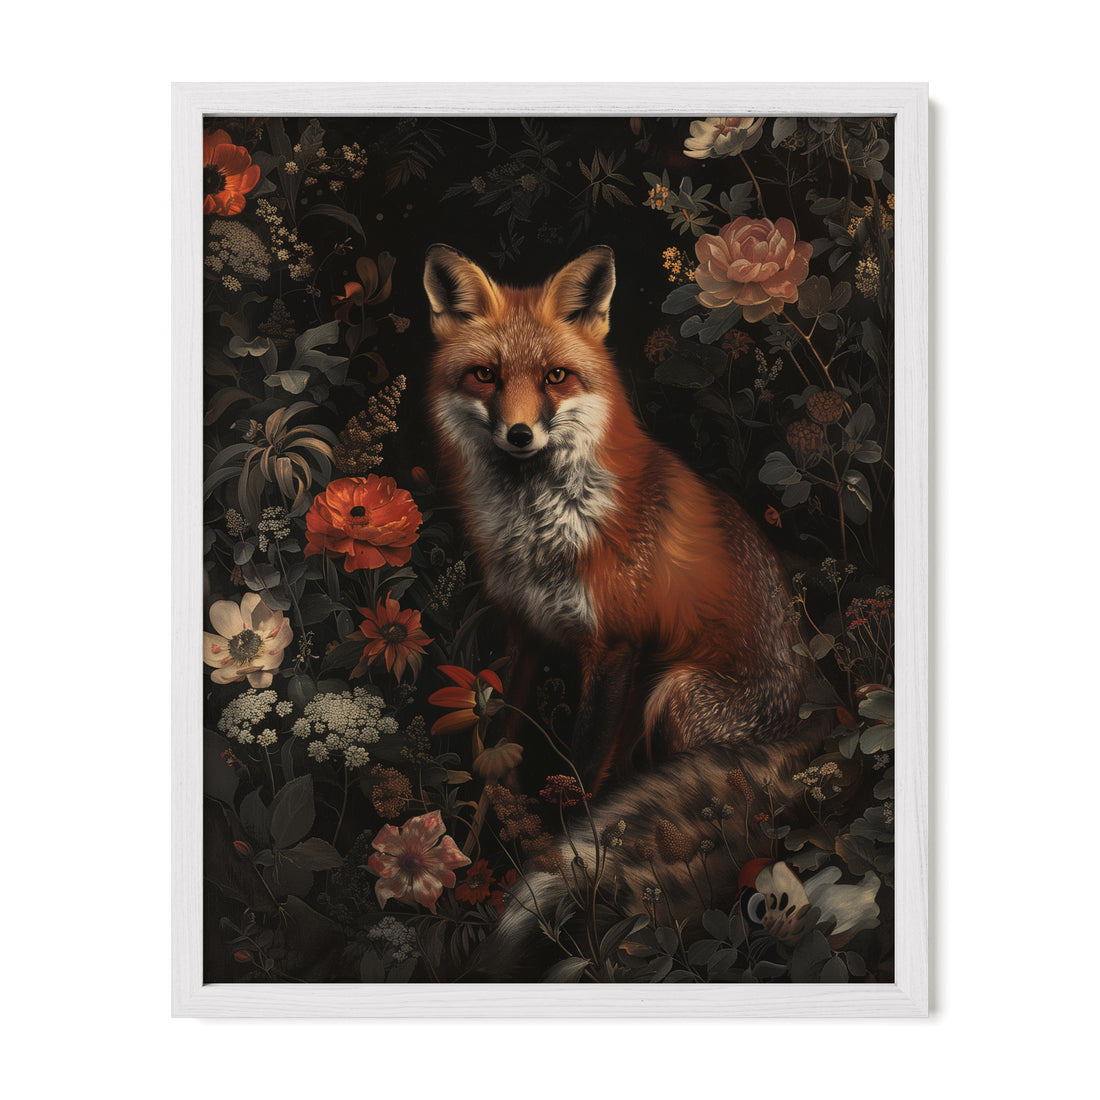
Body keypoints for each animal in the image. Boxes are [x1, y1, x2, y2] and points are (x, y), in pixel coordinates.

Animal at [423, 244, 821, 975]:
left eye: (555, 377)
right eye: (485, 374)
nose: (519, 434)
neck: (543, 528)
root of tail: (824, 715)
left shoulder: (615, 647)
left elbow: (579, 779)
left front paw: (552, 863)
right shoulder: (524, 635)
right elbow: (496, 758)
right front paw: (467, 853)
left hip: (675, 694)